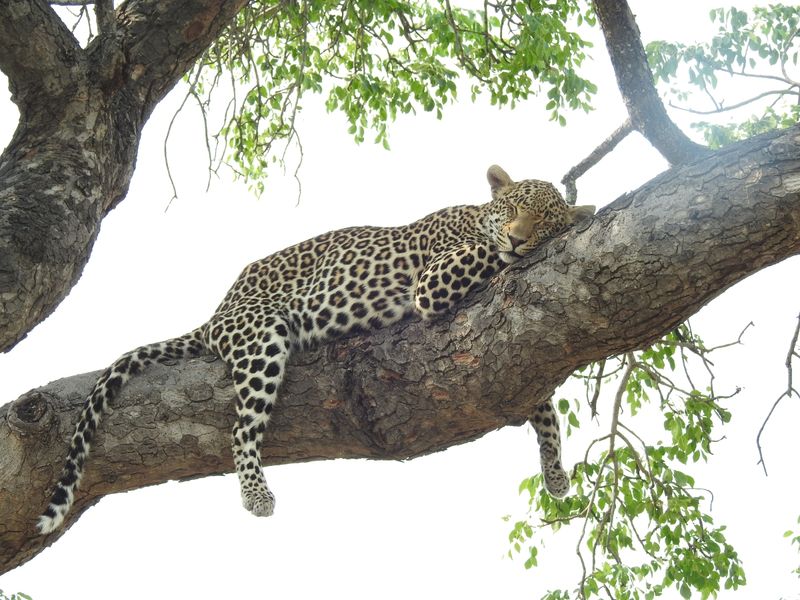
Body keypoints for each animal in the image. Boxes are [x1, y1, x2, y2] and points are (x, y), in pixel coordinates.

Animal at [37, 164, 595, 534]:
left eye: (543, 221)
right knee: (241, 428)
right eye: (515, 210)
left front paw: (555, 472)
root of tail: (216, 314)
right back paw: (257, 494)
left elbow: (542, 406)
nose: (521, 240)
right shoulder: (434, 281)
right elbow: (486, 252)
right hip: (261, 338)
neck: (474, 214)